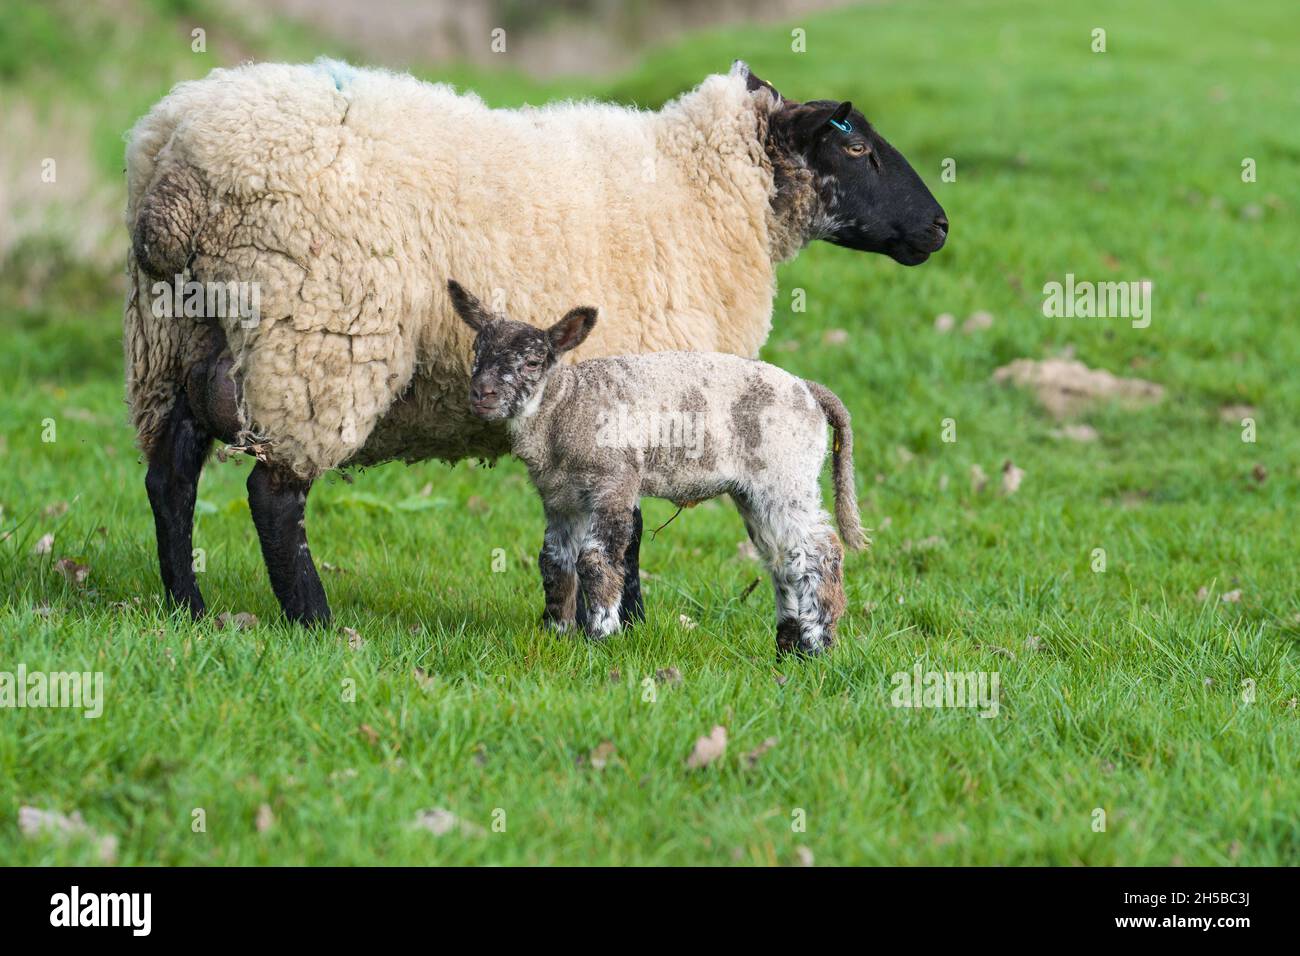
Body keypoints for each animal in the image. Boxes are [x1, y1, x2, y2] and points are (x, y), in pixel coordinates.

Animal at [448, 280, 867, 654]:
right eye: (475, 351)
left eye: (534, 362)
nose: (481, 393)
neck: (565, 408)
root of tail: (809, 389)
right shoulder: (560, 497)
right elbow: (554, 562)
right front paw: (557, 633)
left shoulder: (615, 480)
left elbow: (595, 560)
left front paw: (600, 635)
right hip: (755, 488)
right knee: (782, 558)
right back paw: (788, 646)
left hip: (786, 472)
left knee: (818, 550)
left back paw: (816, 645)